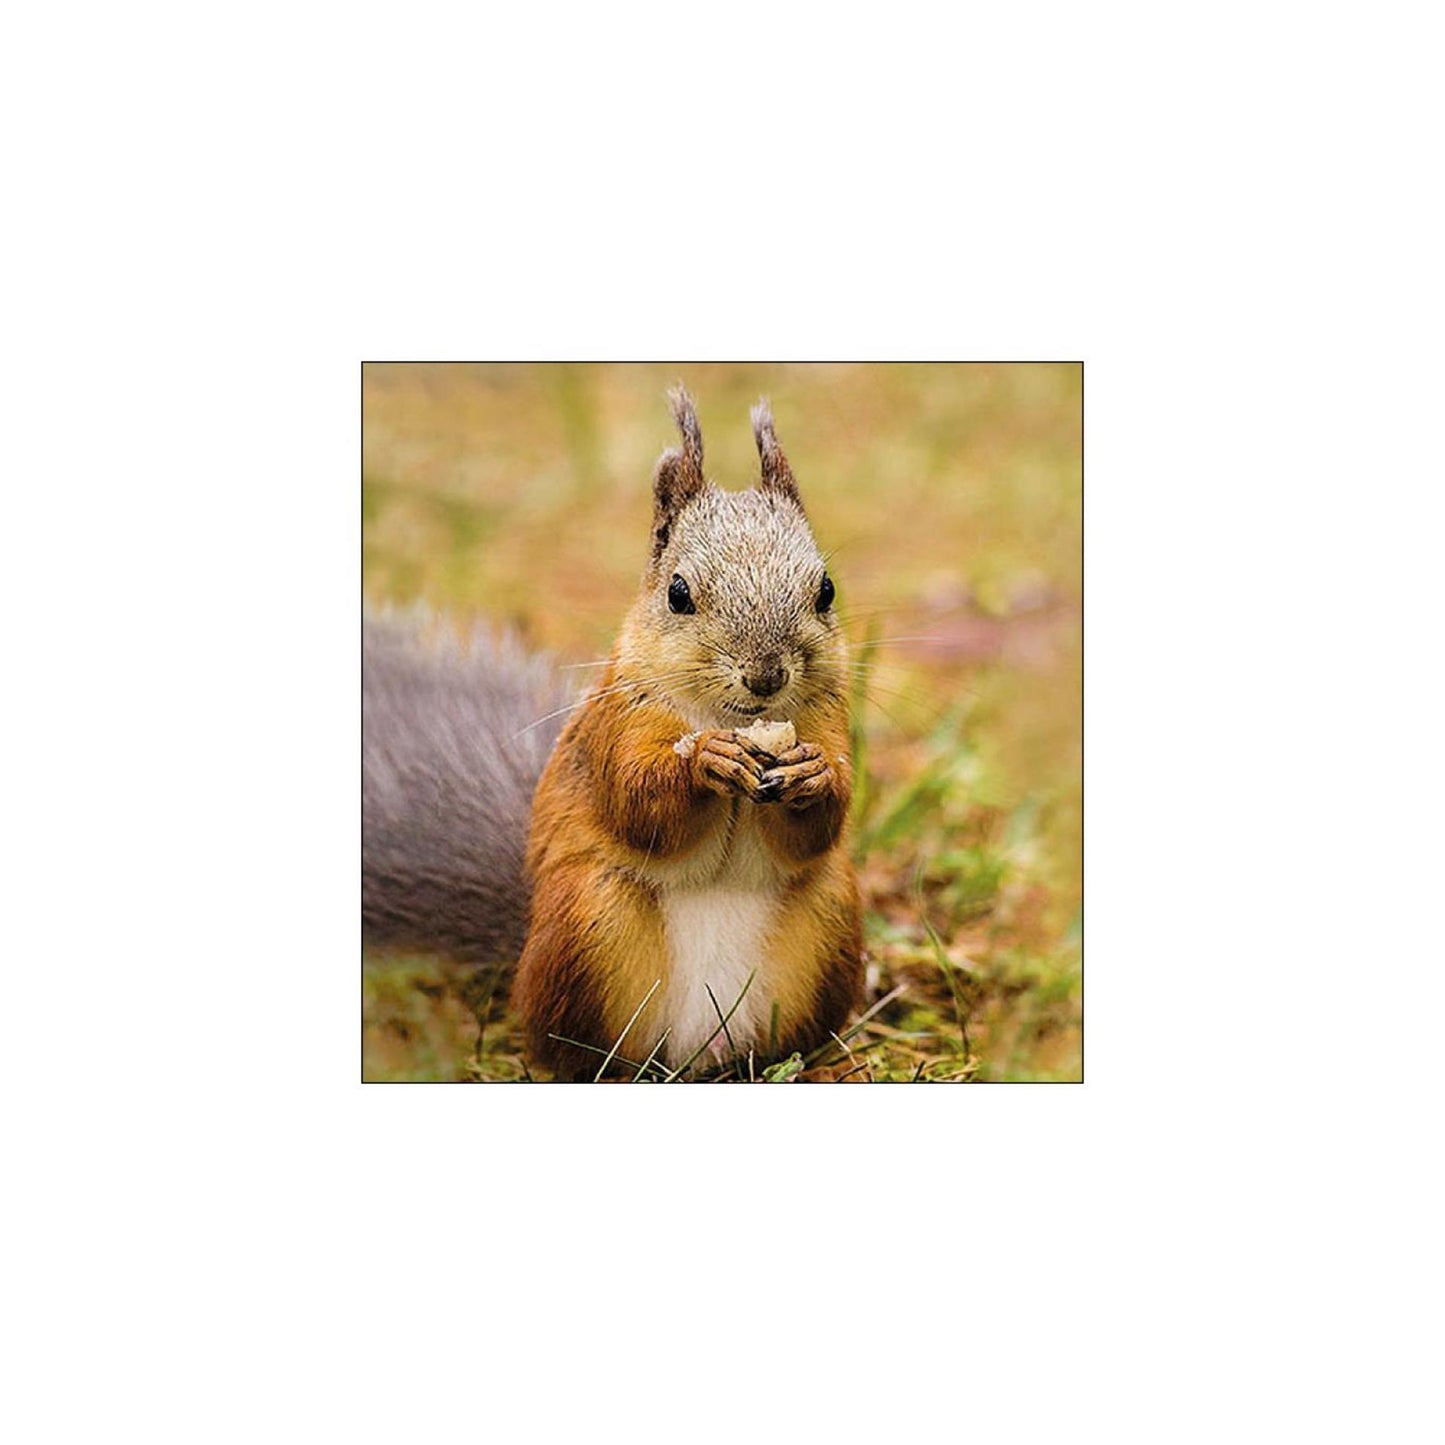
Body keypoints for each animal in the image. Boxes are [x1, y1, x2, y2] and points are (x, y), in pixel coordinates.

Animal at [363, 386, 863, 1080]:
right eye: (678, 593)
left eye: (826, 590)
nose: (766, 676)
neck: (735, 719)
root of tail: (698, 1051)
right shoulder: (618, 722)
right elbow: (635, 804)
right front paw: (702, 761)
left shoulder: (827, 720)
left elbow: (821, 826)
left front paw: (812, 775)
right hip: (588, 920)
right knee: (571, 1048)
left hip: (831, 916)